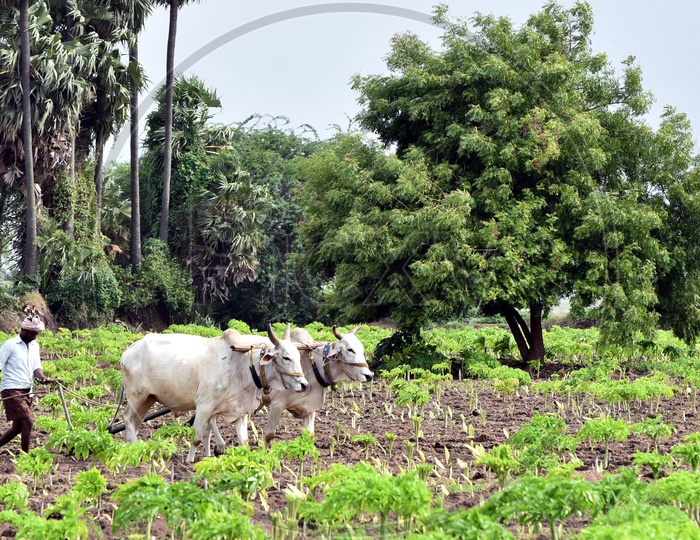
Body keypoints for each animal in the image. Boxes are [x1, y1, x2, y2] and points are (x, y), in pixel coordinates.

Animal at [120, 324, 308, 462]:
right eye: (286, 357)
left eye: (299, 357)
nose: (304, 384)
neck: (240, 366)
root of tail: (129, 350)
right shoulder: (204, 406)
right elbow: (196, 436)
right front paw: (189, 461)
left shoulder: (240, 411)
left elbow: (243, 440)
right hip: (136, 396)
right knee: (128, 419)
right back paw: (136, 449)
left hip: (148, 399)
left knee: (135, 422)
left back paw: (132, 448)